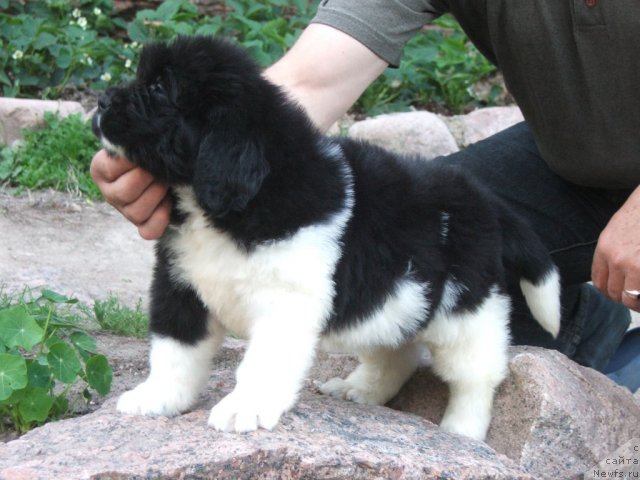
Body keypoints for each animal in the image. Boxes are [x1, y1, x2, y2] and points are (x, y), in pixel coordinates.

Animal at [91, 36, 560, 442]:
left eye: (158, 88)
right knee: (399, 350)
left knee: (475, 377)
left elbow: (262, 361)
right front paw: (157, 398)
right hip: (394, 298)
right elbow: (174, 350)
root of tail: (482, 199)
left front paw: (244, 408)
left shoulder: (284, 301)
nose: (101, 102)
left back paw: (461, 432)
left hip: (467, 311)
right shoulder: (179, 283)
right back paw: (361, 390)